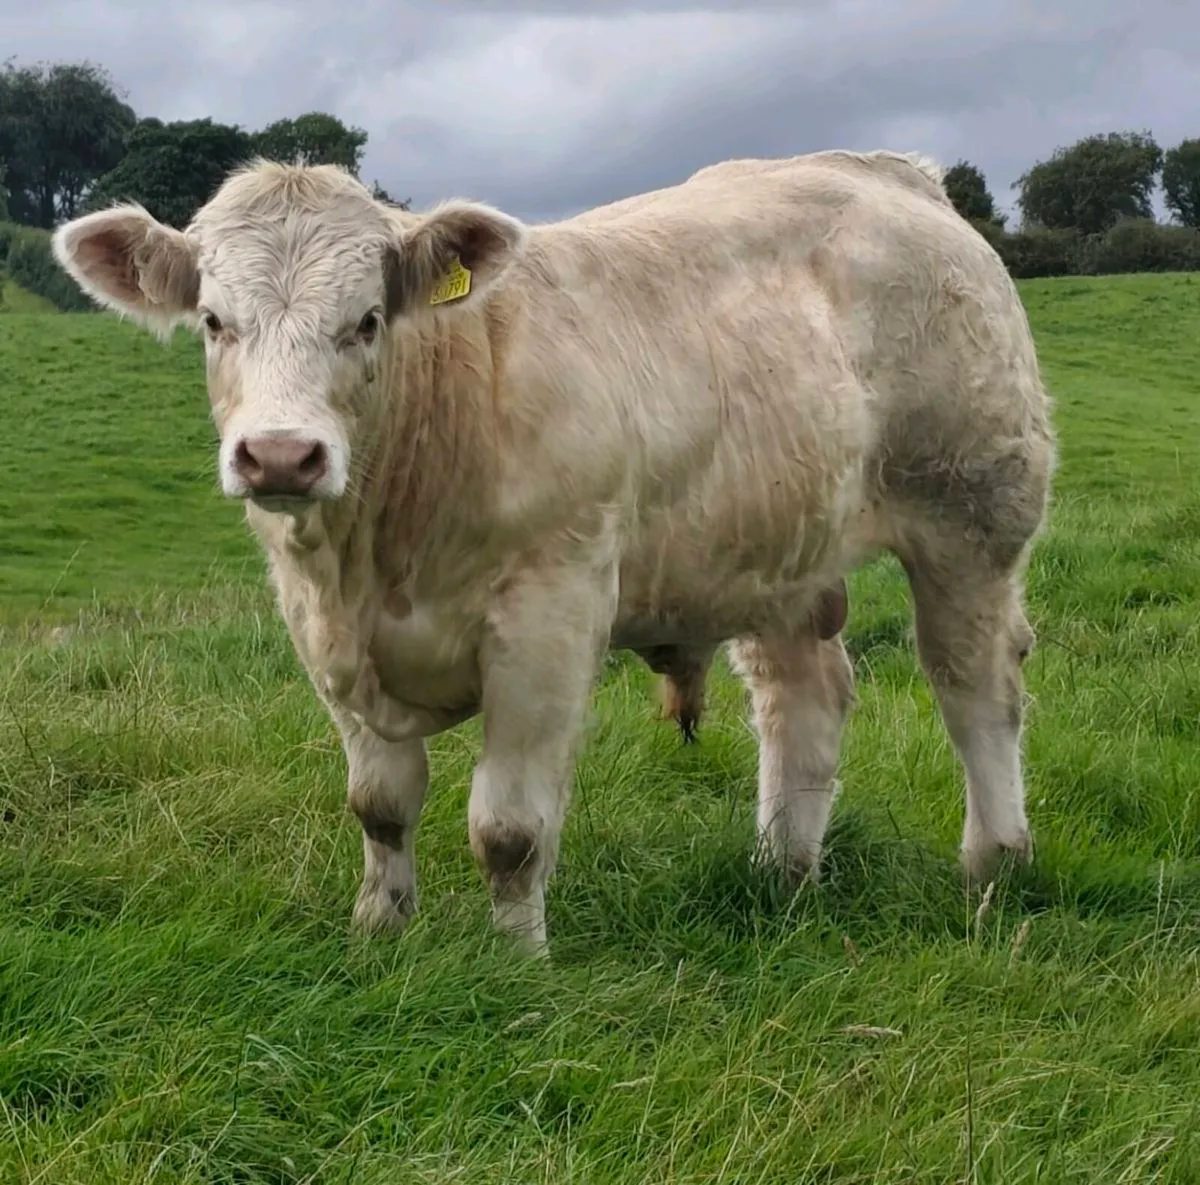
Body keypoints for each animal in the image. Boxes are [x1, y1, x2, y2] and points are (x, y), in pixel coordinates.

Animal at [52, 149, 1056, 956]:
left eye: (368, 320)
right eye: (214, 321)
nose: (280, 454)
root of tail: (892, 174)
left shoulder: (548, 620)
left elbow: (509, 828)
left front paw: (515, 964)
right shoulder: (324, 631)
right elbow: (380, 805)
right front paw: (379, 932)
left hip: (972, 514)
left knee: (975, 686)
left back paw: (993, 862)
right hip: (775, 548)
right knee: (804, 694)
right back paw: (782, 870)